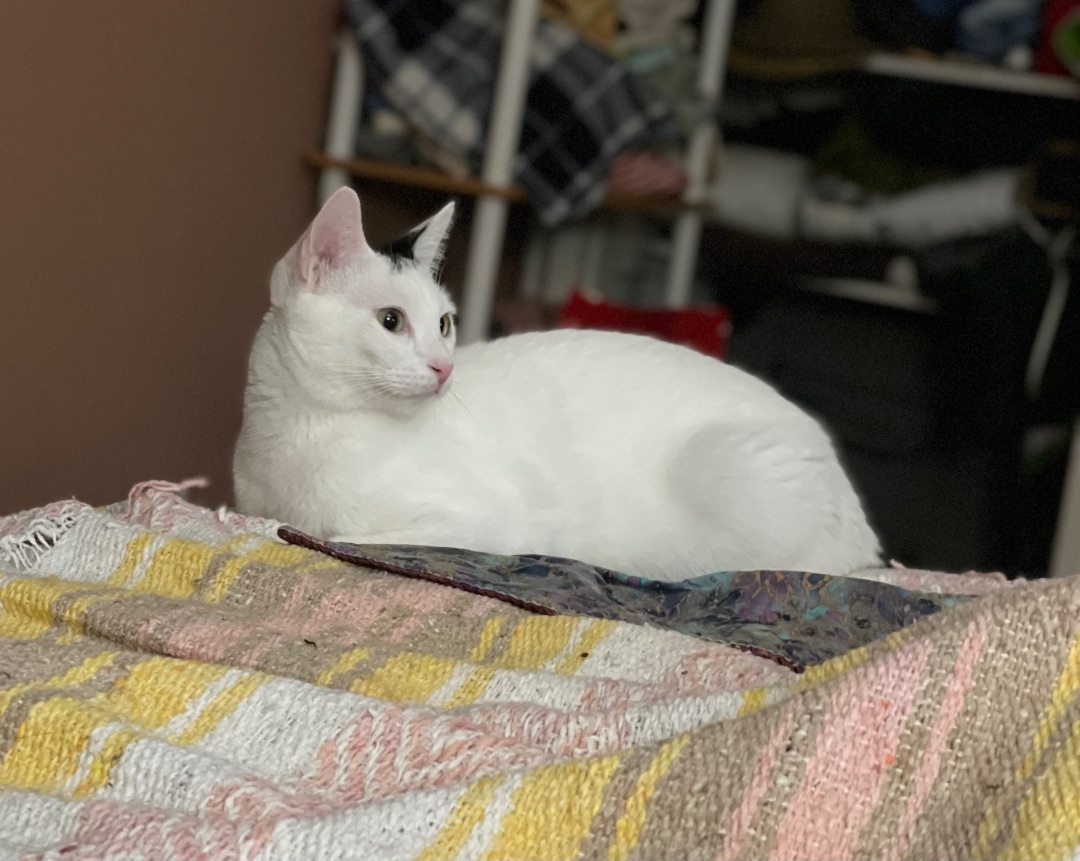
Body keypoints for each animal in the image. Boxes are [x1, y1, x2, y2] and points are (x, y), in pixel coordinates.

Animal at [232, 186, 881, 579]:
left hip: (723, 471)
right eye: (391, 321)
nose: (445, 366)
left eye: (443, 324)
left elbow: (336, 534)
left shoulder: (477, 520)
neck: (301, 430)